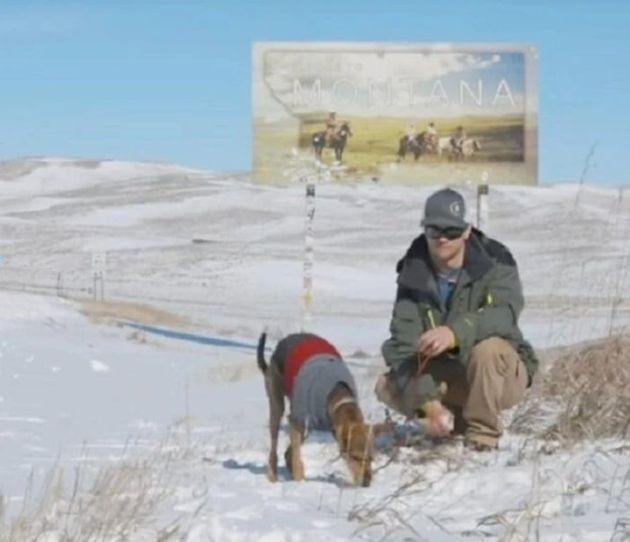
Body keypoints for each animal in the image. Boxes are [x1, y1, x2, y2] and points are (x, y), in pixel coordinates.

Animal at [258, 332, 372, 488]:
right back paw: (273, 476)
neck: (337, 394)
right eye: (355, 457)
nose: (367, 483)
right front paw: (299, 482)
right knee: (275, 445)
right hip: (277, 402)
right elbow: (296, 457)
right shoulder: (297, 419)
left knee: (288, 452)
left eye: (371, 457)